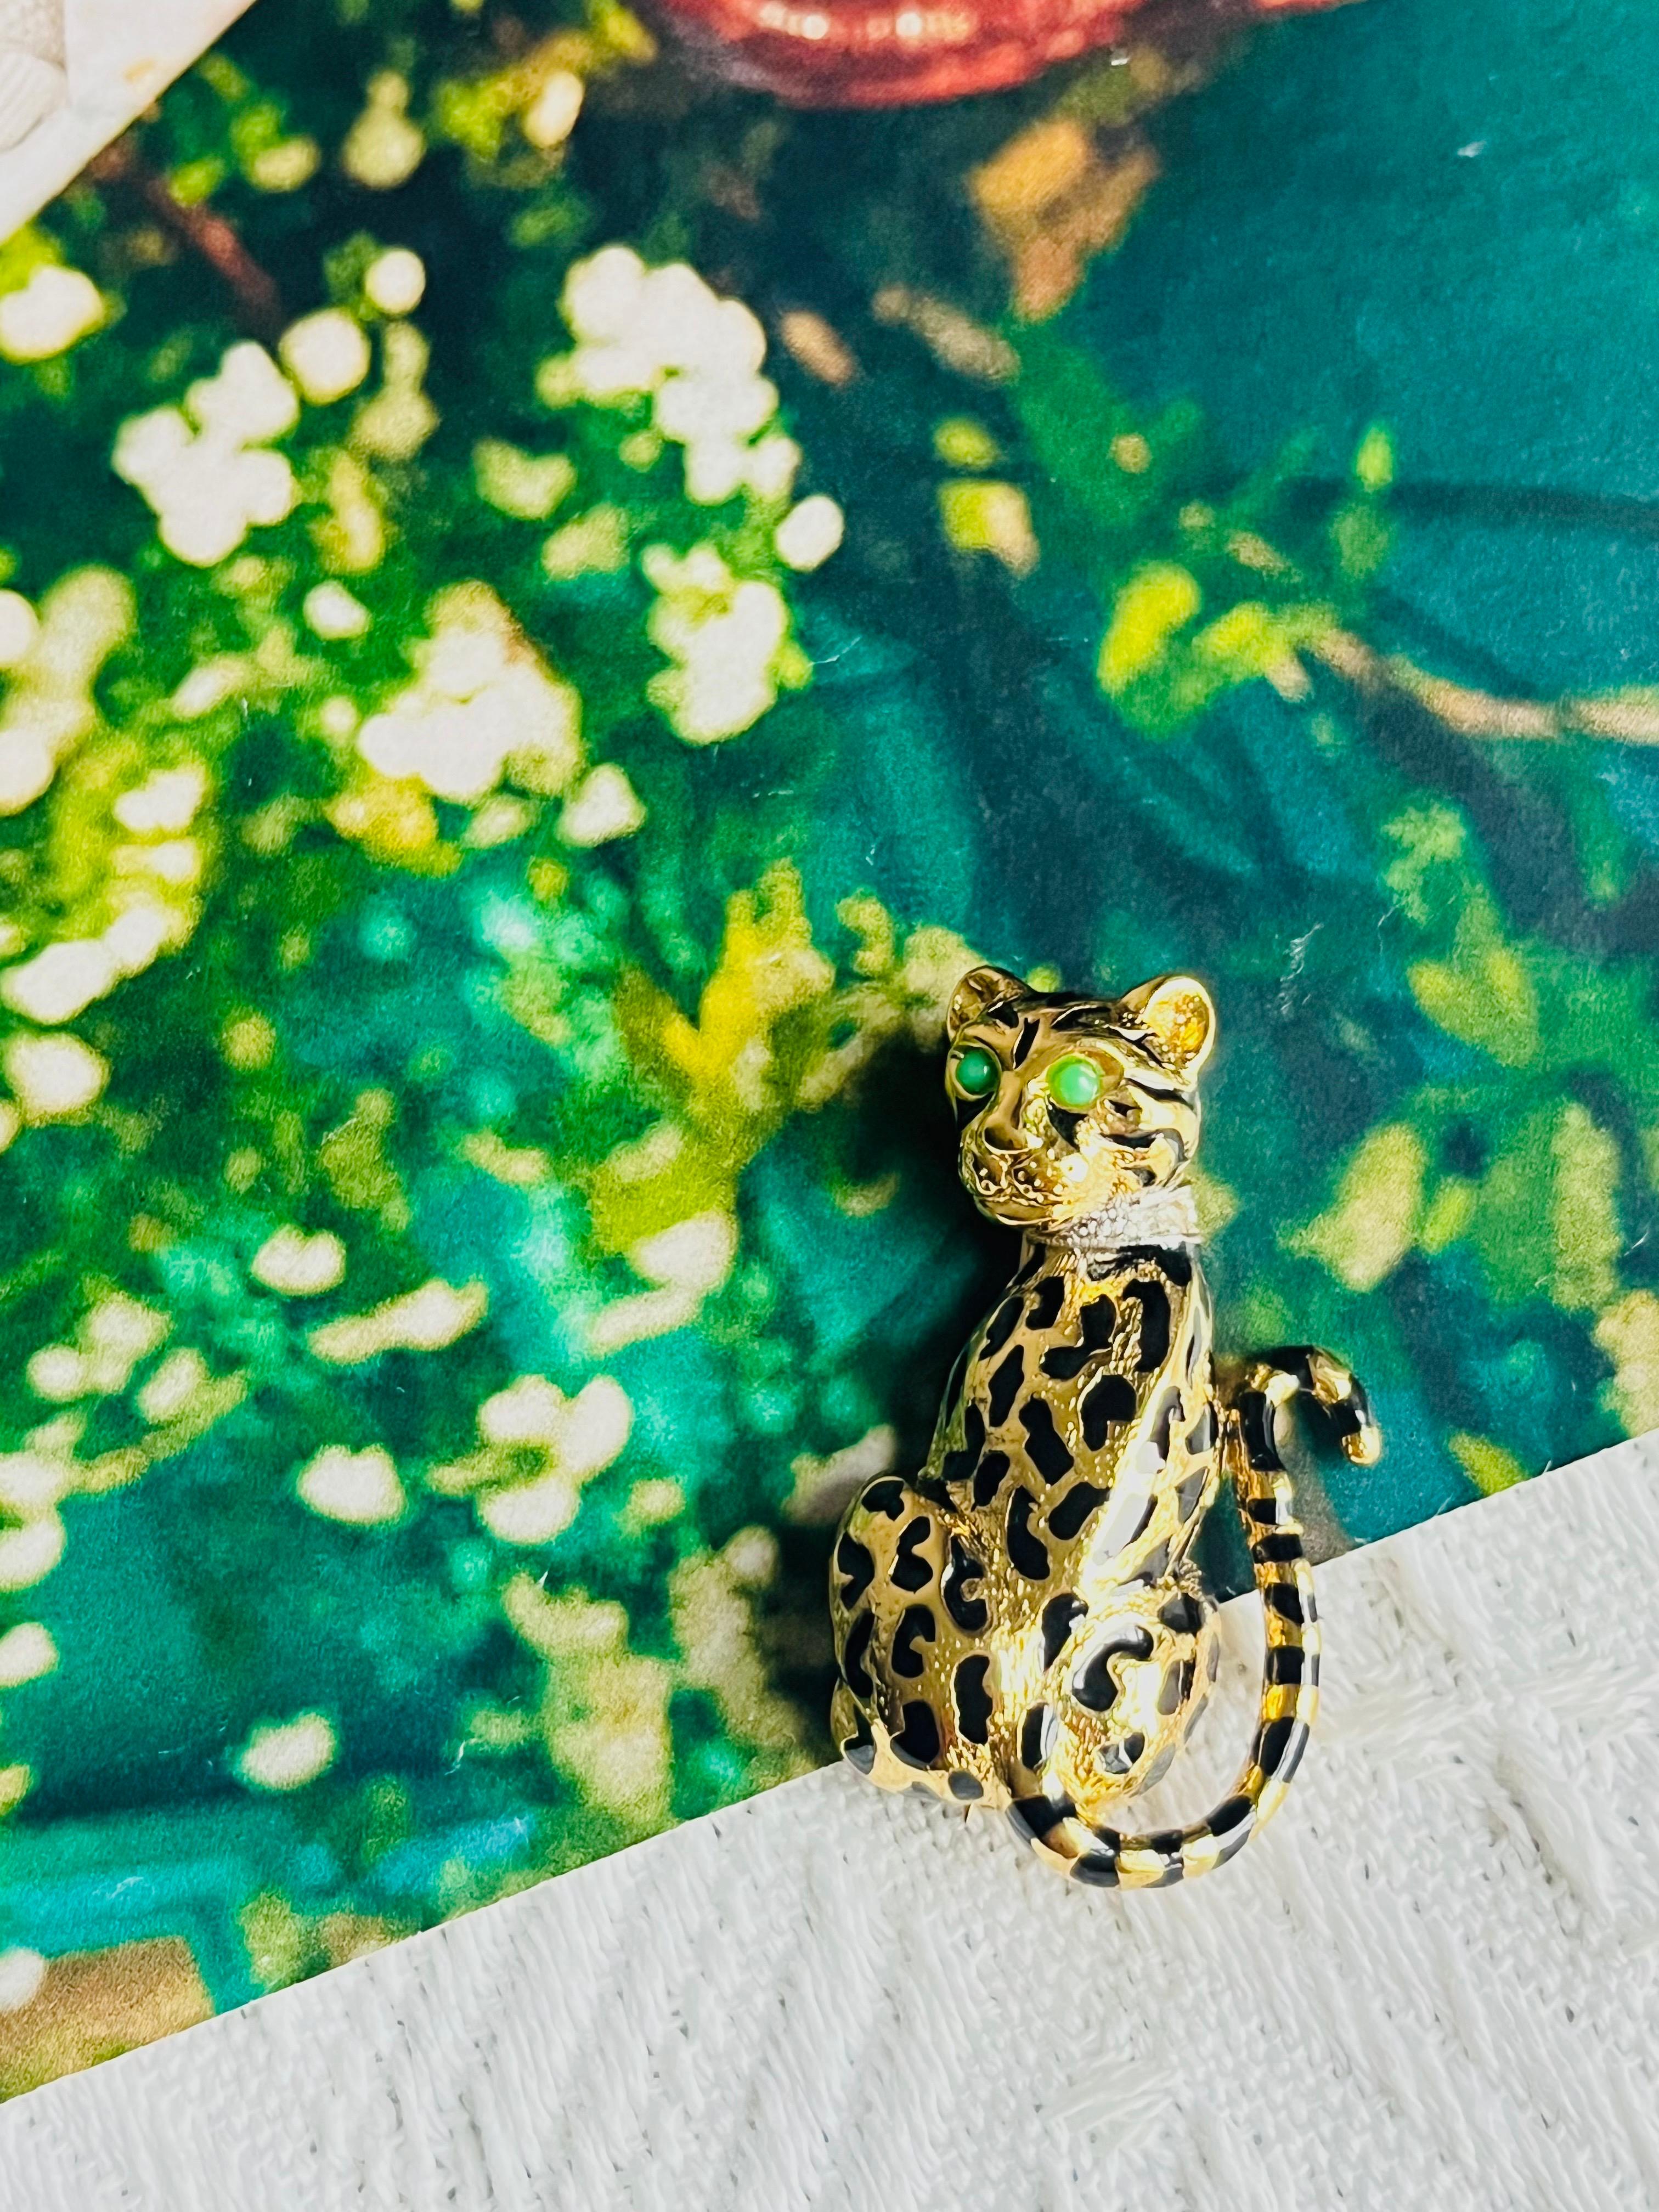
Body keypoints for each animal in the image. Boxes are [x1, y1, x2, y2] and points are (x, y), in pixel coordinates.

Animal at [829, 964, 1381, 1887]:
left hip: (884, 1506)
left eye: (1079, 1083)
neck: (1115, 1241)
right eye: (973, 1070)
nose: (996, 1144)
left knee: (894, 1755)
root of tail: (1021, 1720)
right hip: (1187, 1618)